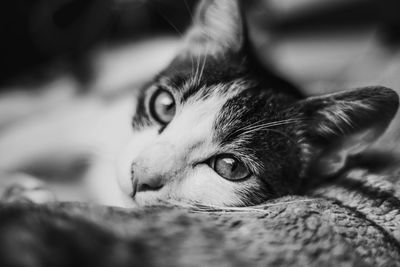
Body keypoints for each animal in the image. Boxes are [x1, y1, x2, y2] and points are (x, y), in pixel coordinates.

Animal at [0, 0, 400, 208]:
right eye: (164, 105)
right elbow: (28, 139)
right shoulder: (91, 120)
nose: (140, 174)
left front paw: (22, 192)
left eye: (230, 166)